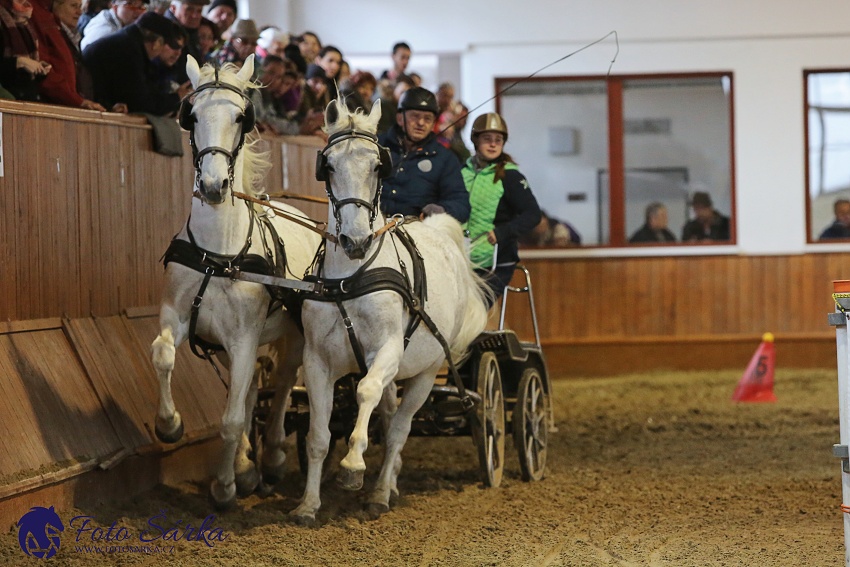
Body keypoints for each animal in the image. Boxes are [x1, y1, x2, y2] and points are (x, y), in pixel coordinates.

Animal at [149, 56, 322, 510]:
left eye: (241, 117)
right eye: (191, 117)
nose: (213, 186)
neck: (218, 257)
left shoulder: (244, 339)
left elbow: (229, 419)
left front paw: (224, 487)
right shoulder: (179, 318)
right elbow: (163, 355)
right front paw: (169, 424)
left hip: (293, 337)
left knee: (282, 385)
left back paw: (273, 458)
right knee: (250, 392)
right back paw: (248, 466)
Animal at [292, 101, 490, 524]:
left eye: (376, 166)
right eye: (328, 165)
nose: (354, 241)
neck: (350, 278)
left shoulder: (387, 350)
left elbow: (366, 392)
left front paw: (352, 467)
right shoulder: (316, 360)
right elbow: (318, 436)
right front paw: (308, 504)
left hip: (427, 372)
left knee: (400, 427)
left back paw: (380, 492)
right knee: (388, 415)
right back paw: (390, 479)